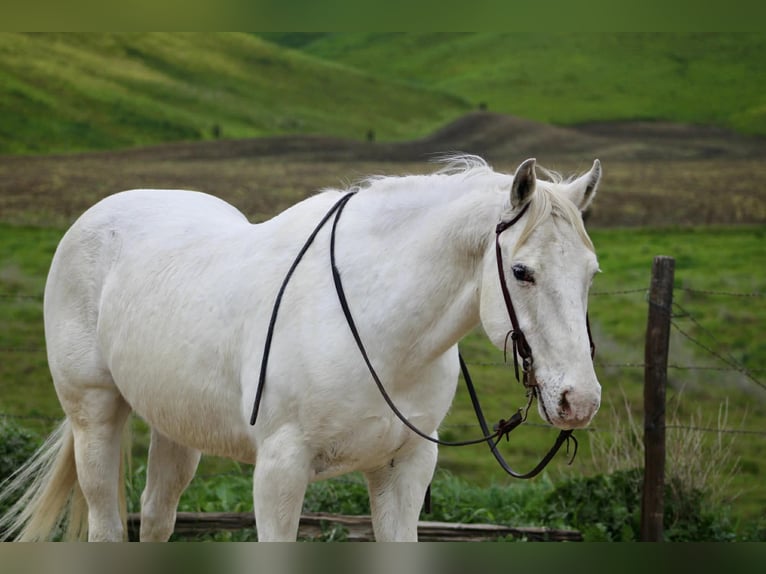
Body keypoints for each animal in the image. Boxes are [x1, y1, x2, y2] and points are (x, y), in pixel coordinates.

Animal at [0, 155, 602, 542]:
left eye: (591, 272)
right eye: (521, 271)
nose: (579, 401)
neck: (376, 330)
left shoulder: (404, 469)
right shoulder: (280, 472)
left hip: (177, 424)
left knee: (156, 517)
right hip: (95, 416)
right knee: (106, 522)